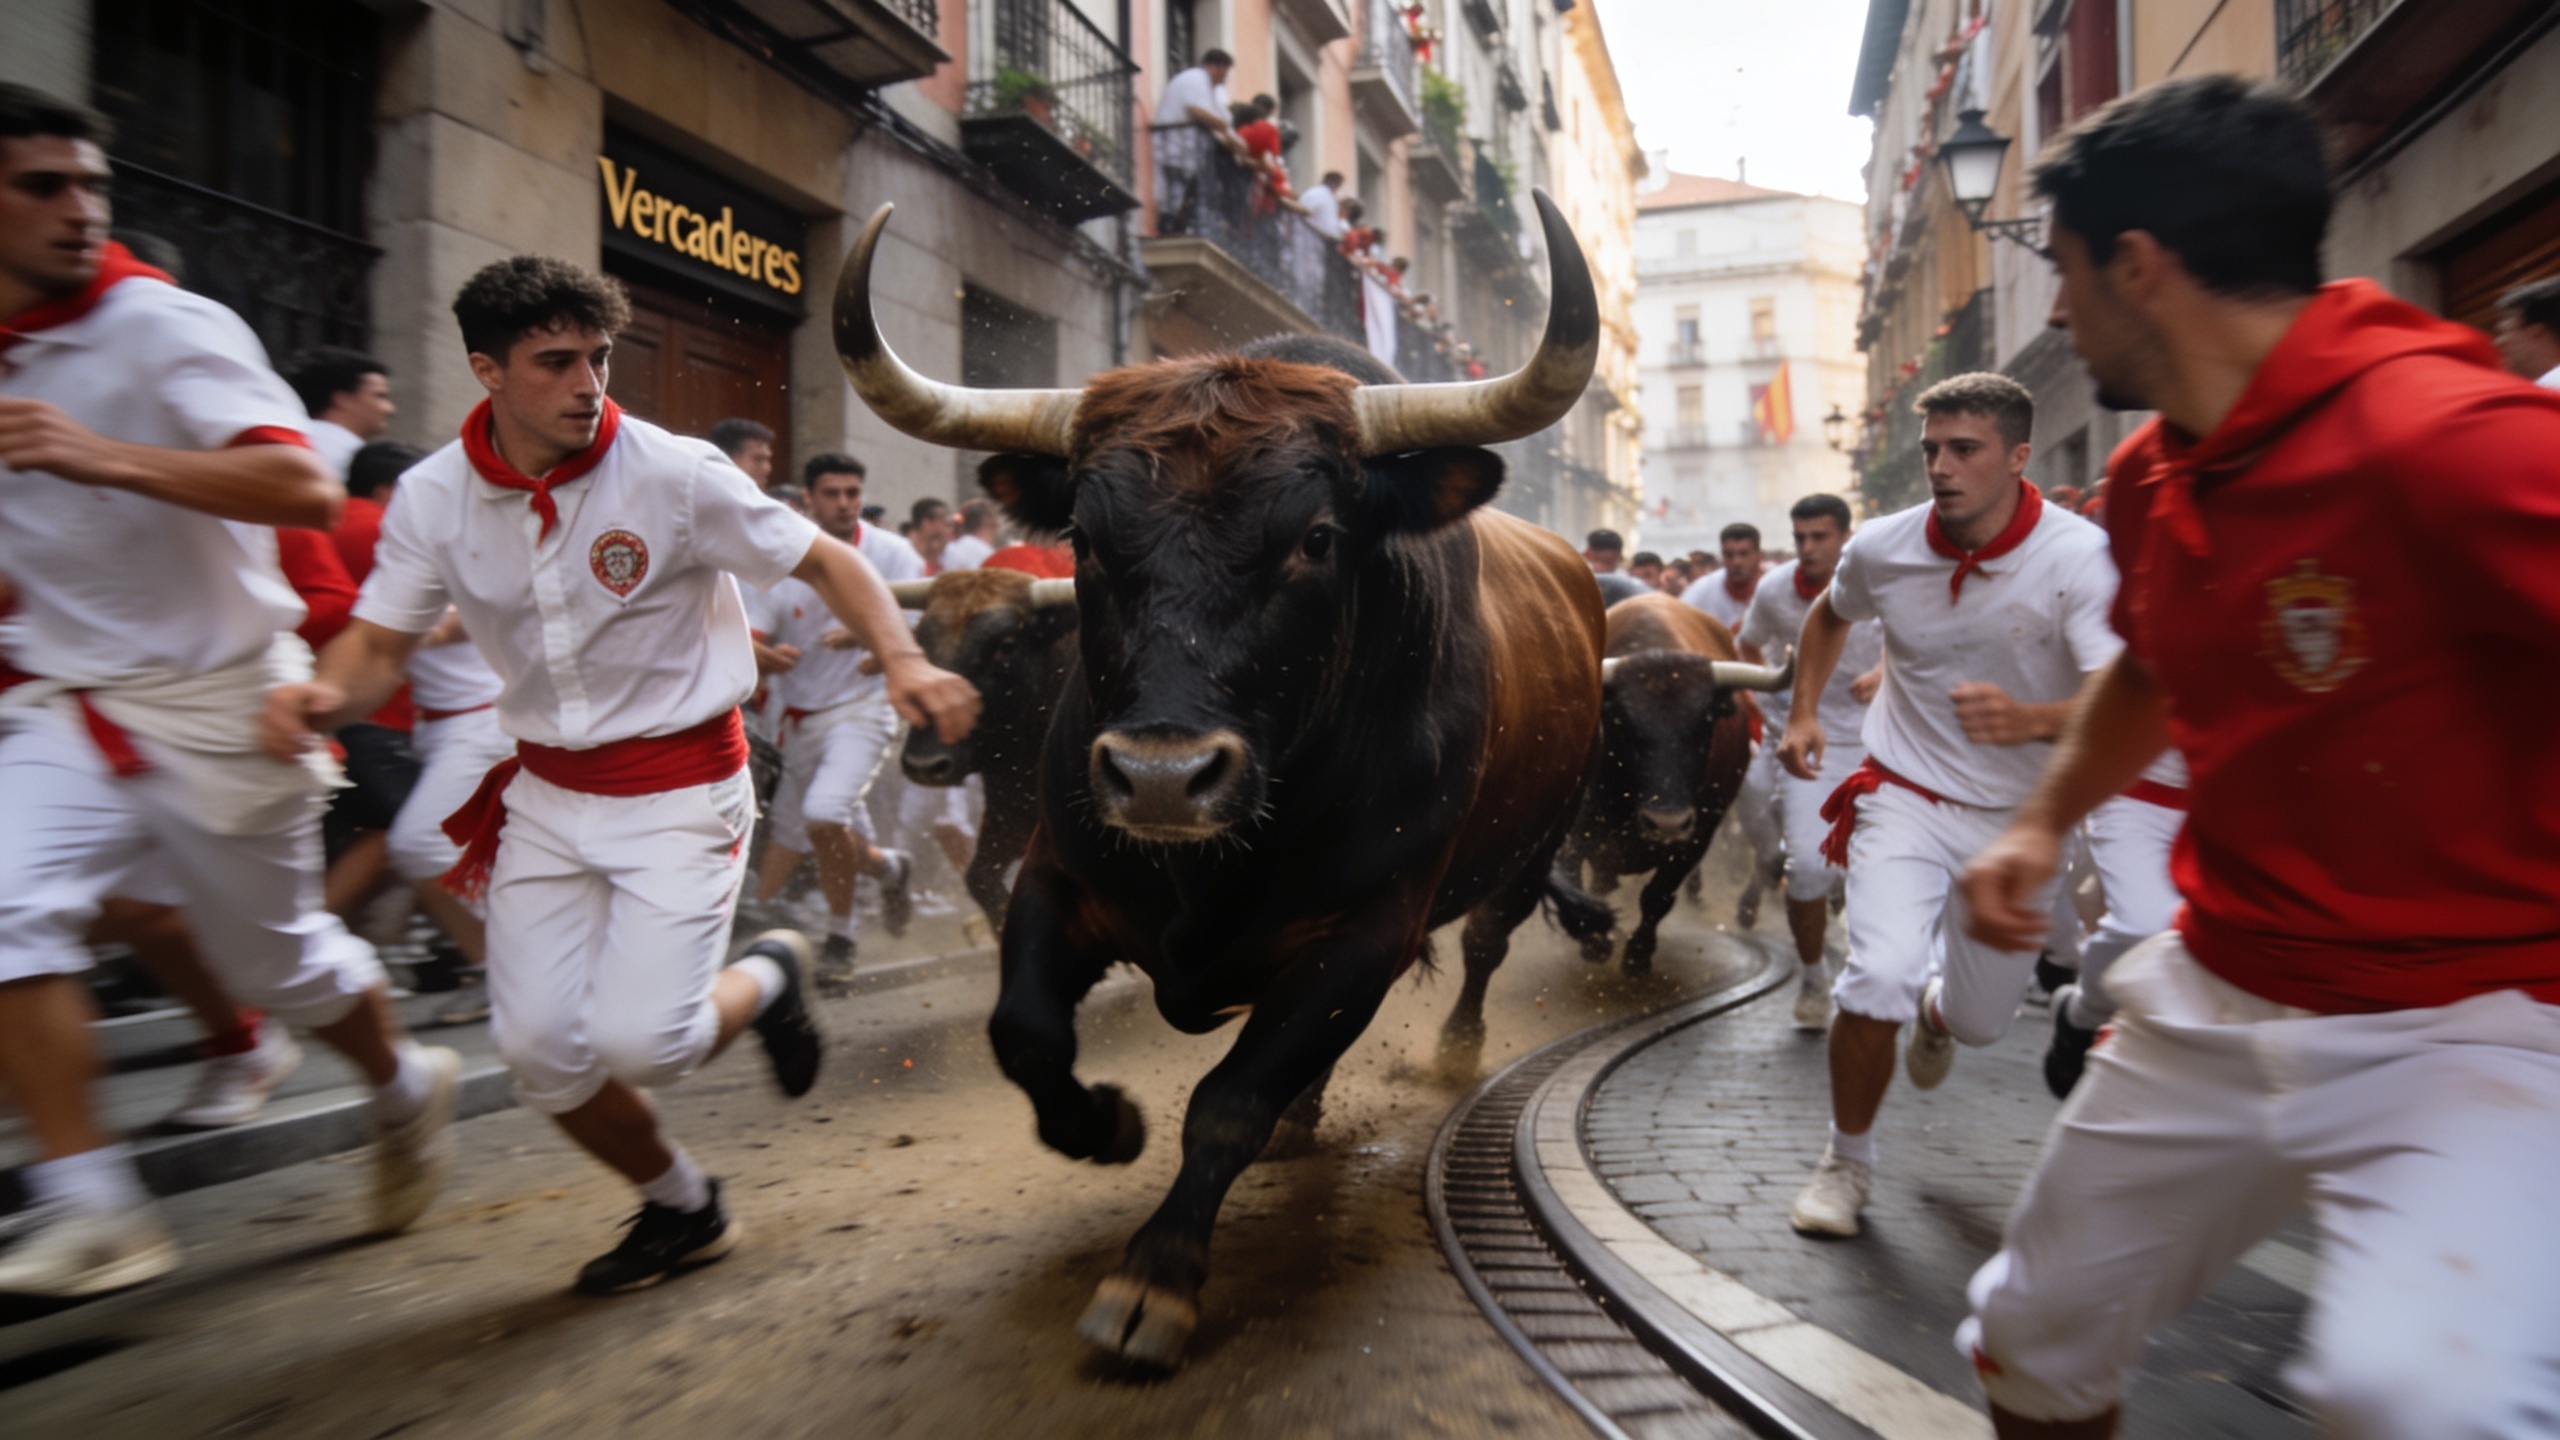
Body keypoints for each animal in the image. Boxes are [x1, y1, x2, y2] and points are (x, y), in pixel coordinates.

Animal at [1560, 593, 1790, 972]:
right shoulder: (1574, 830)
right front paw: (1596, 943)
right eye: (1623, 722)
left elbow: (1657, 896)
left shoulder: (1697, 835)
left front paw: (1638, 954)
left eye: (1705, 724)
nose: (1665, 822)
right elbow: (1574, 880)